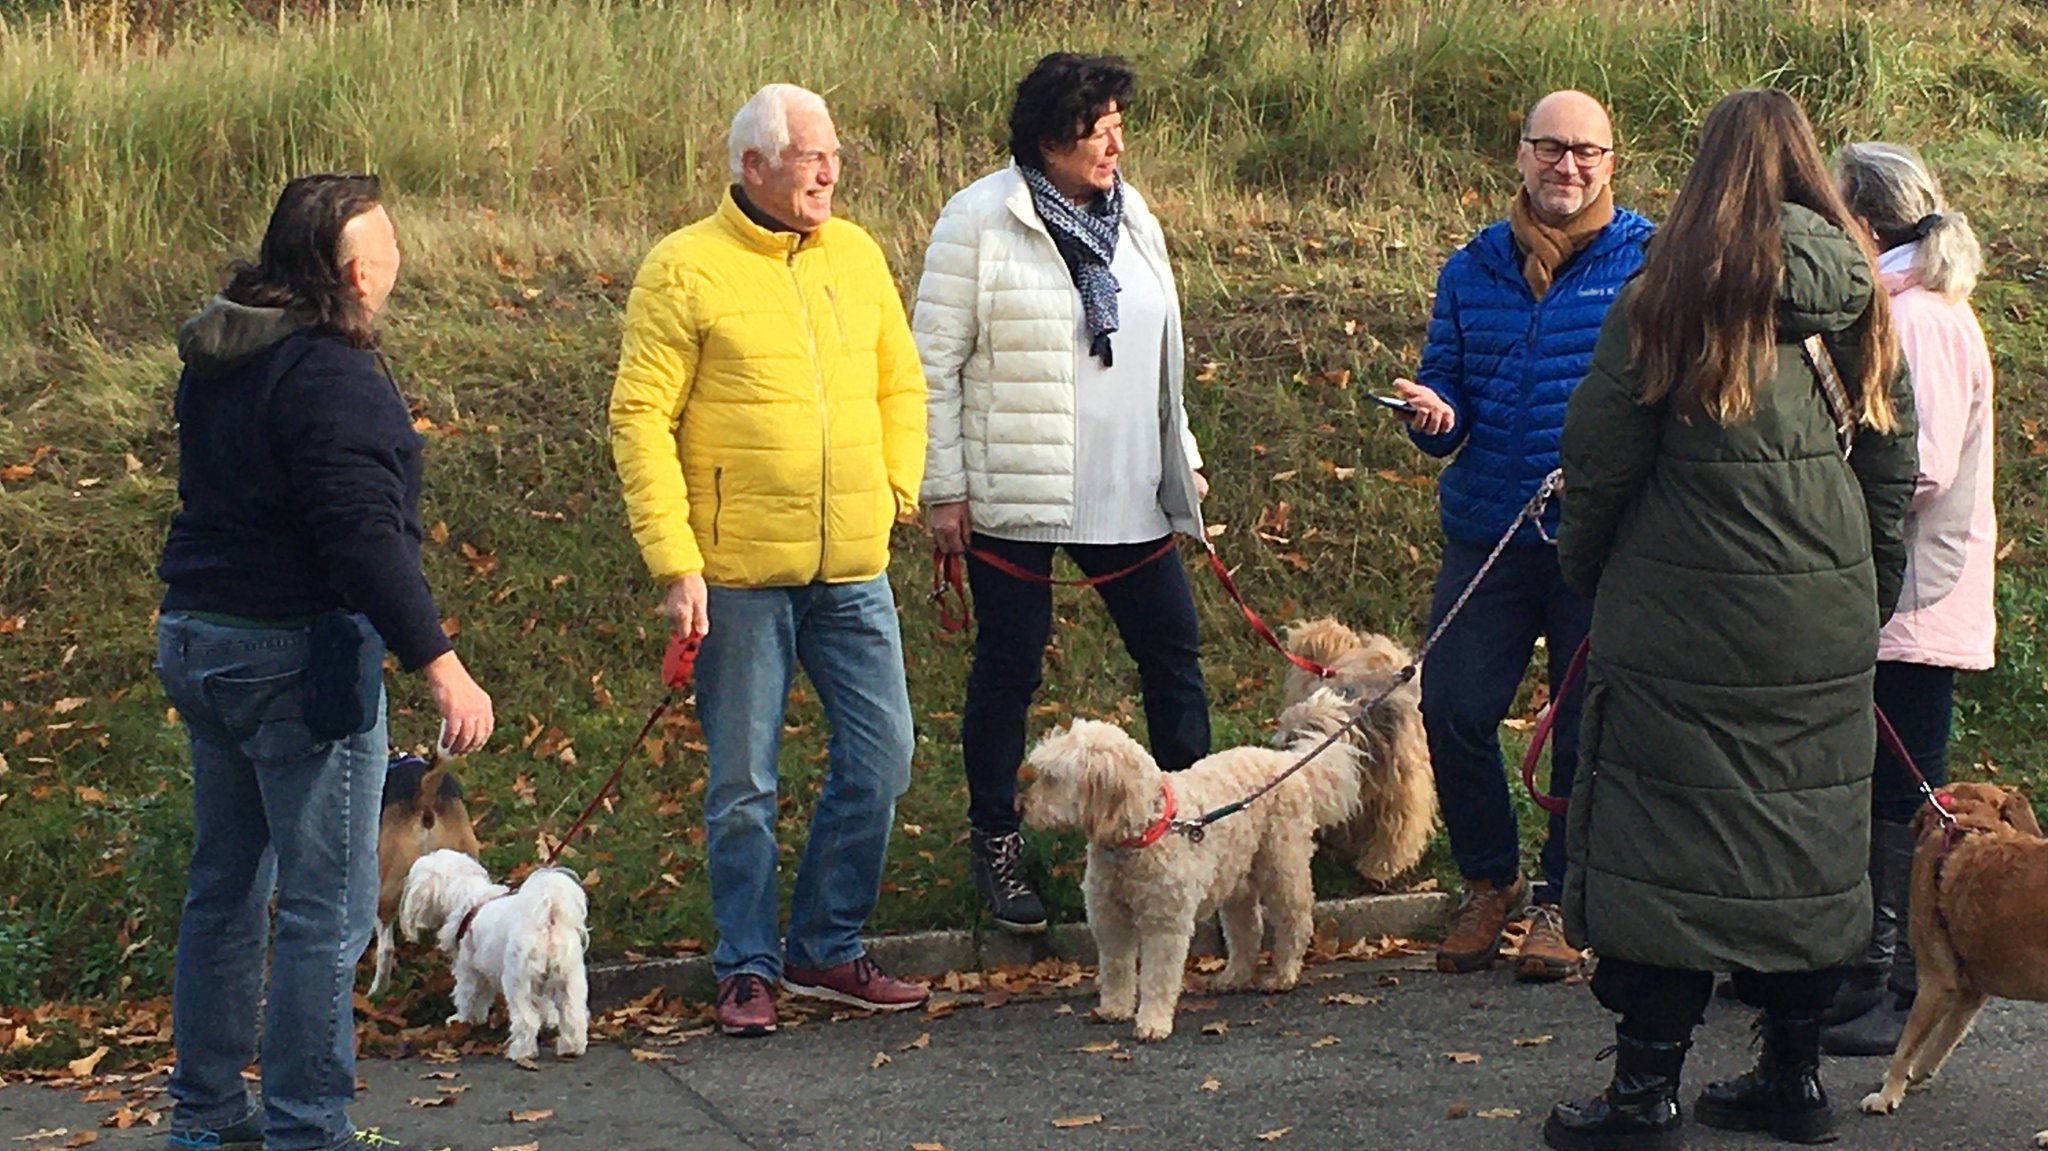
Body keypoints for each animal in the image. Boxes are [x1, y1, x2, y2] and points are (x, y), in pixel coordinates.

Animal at [399, 847, 593, 1064]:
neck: (468, 896)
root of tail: (546, 921)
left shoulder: (469, 969)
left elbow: (467, 996)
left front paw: (462, 1020)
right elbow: (544, 1006)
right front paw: (549, 1021)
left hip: (518, 979)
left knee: (526, 1020)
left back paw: (521, 1052)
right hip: (569, 977)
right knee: (573, 1015)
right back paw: (571, 1048)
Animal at [1019, 688, 1359, 1040]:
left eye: (1051, 779)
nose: (1021, 808)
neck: (1145, 830)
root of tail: (1287, 764)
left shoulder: (1165, 923)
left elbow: (1157, 976)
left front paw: (1152, 1022)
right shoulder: (1109, 918)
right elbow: (1116, 968)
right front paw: (1114, 1008)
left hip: (1282, 868)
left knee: (1295, 922)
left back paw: (1283, 975)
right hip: (1236, 879)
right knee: (1247, 929)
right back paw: (1234, 976)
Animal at [1867, 778, 2039, 1138]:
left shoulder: (1935, 984)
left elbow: (1905, 1046)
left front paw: (1887, 1095)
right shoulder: (1969, 993)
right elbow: (1940, 1042)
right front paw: (1914, 1076)